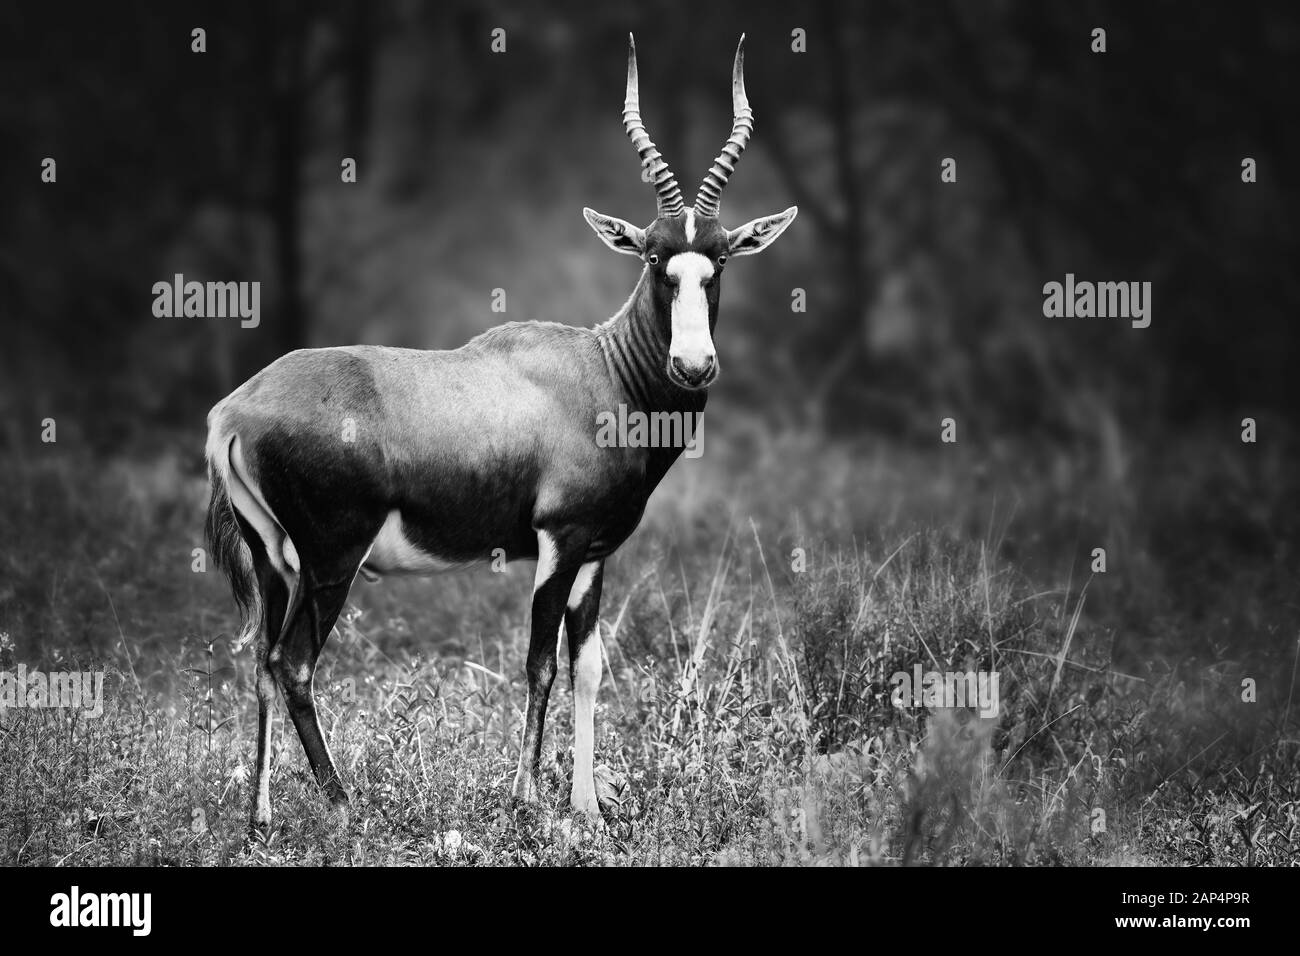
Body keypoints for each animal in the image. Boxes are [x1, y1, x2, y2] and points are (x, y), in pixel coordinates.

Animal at [204, 35, 795, 832]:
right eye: (654, 257)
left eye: (722, 258)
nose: (695, 364)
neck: (598, 368)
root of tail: (234, 411)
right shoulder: (556, 542)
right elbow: (540, 662)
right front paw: (526, 799)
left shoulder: (594, 554)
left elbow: (589, 665)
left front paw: (587, 811)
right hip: (331, 559)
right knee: (292, 662)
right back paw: (343, 801)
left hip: (274, 561)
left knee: (262, 661)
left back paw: (262, 818)